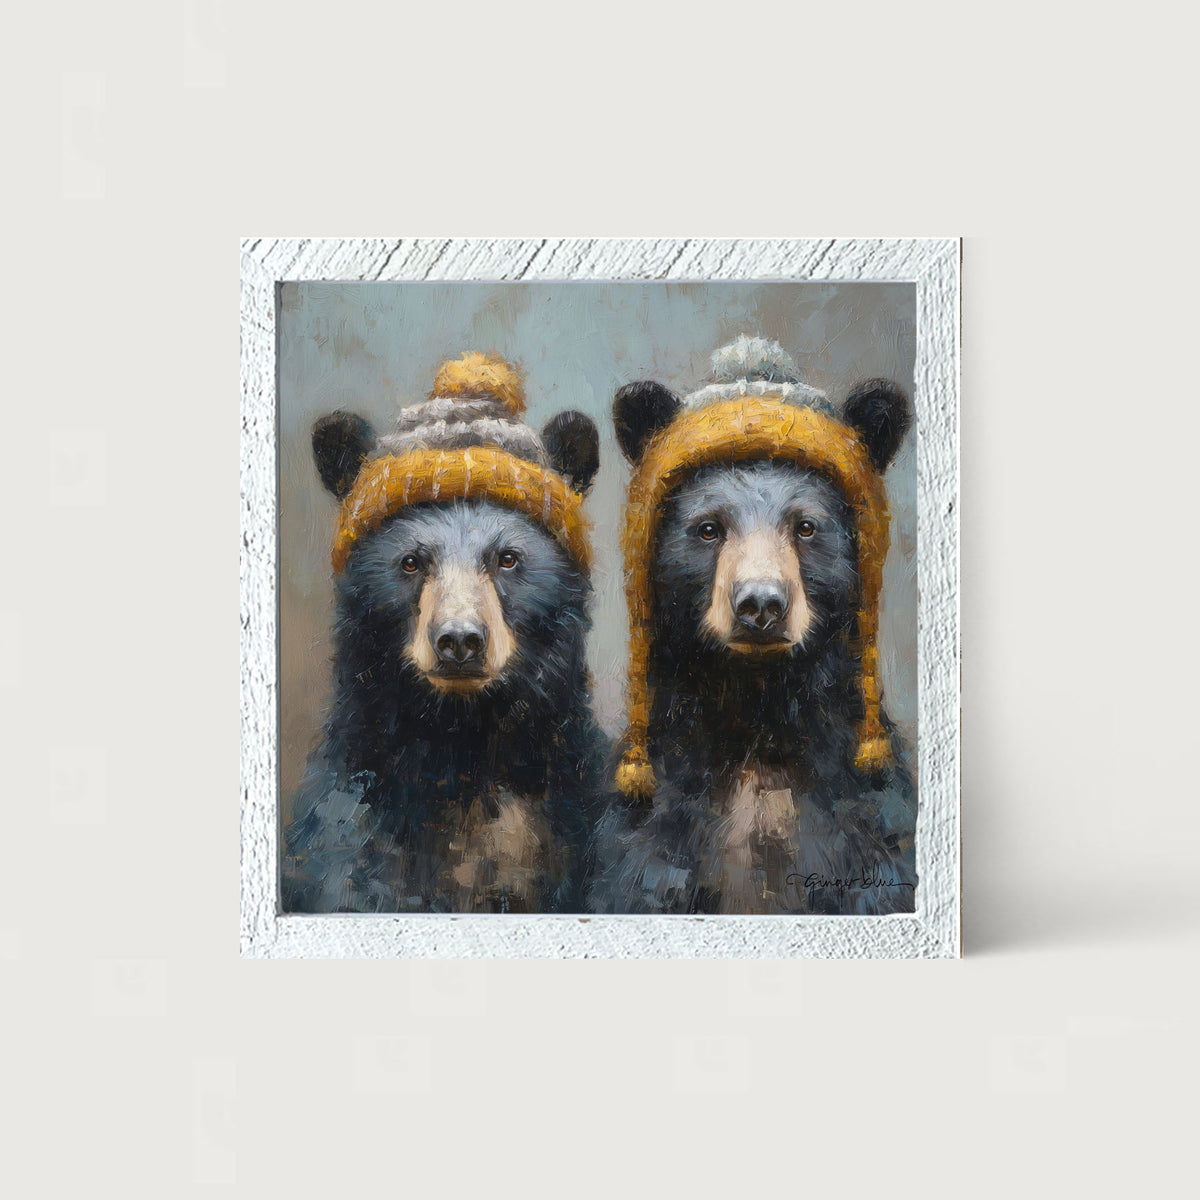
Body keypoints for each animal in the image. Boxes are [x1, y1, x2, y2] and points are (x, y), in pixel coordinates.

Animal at [589, 335, 917, 916]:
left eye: (806, 526)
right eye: (708, 528)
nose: (760, 605)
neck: (759, 718)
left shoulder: (868, 826)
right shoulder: (651, 832)